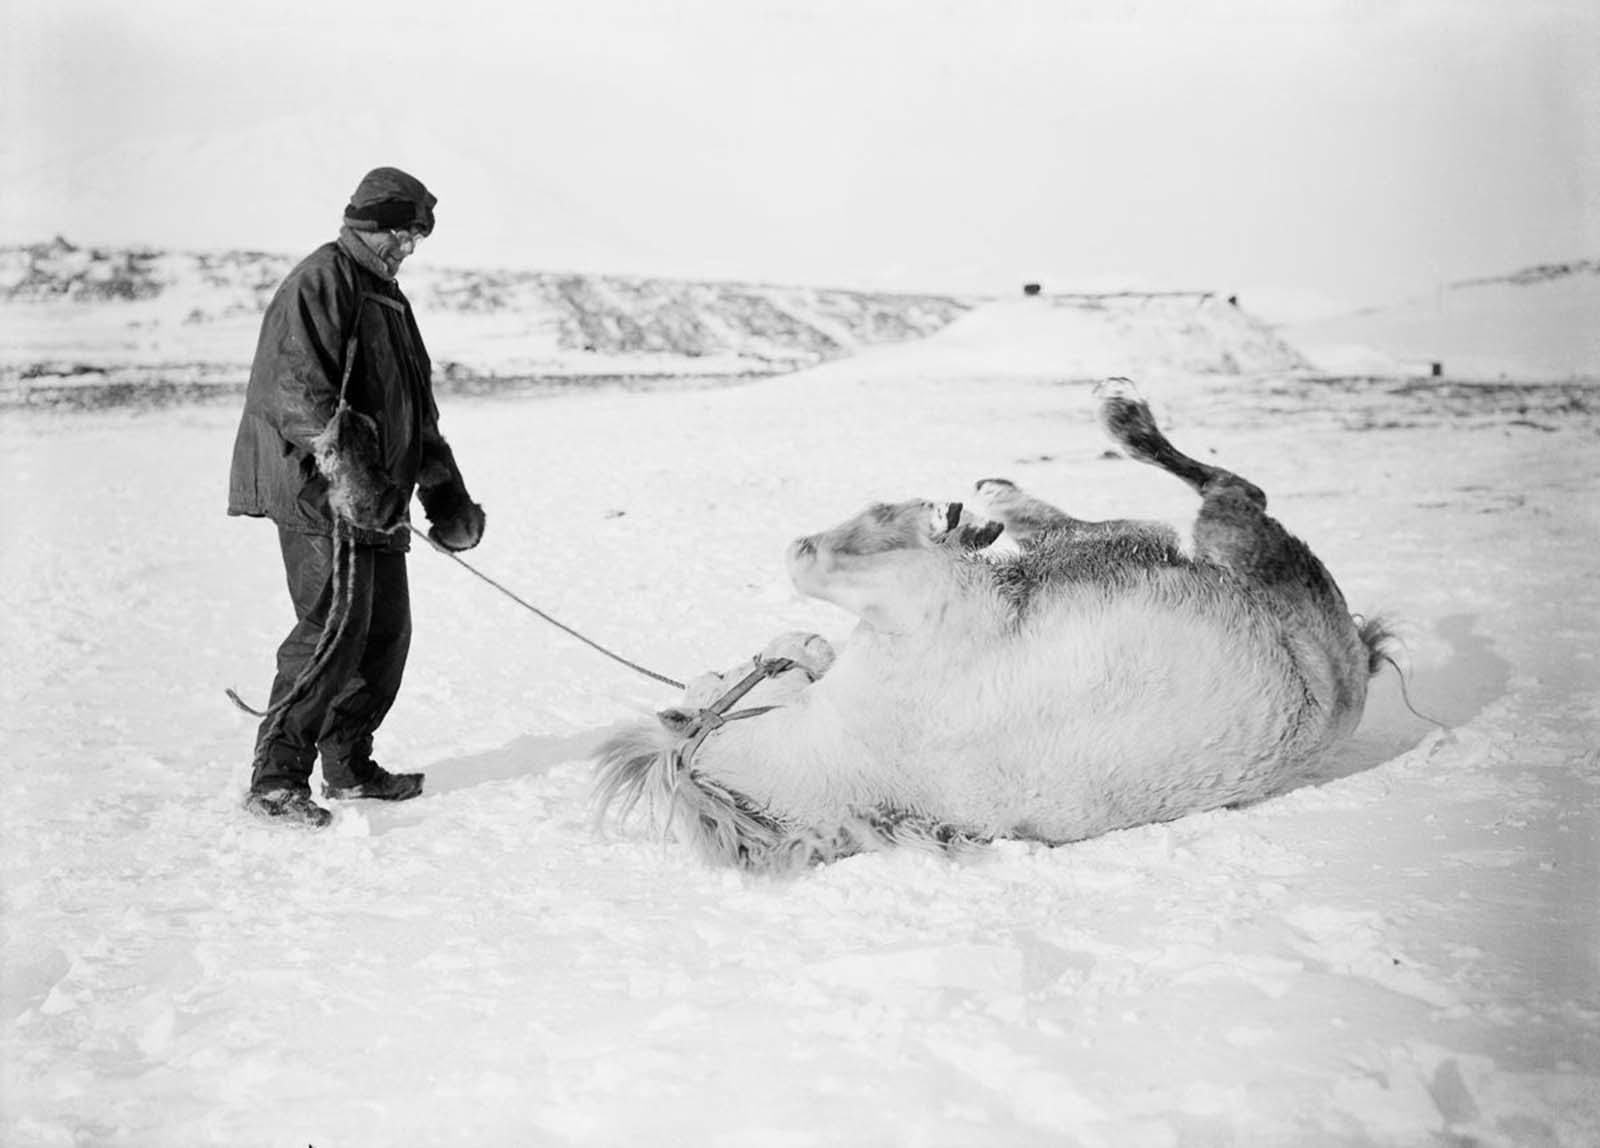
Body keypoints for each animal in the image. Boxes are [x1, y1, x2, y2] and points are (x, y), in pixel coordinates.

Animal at [592, 377, 1388, 869]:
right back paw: (1109, 423)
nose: (797, 646)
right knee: (1223, 492)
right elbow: (802, 561)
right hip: (1249, 553)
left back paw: (1003, 497)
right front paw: (925, 519)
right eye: (724, 676)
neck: (836, 752)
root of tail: (1358, 659)